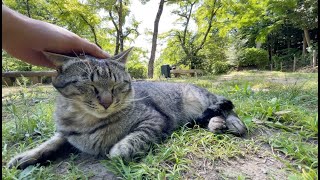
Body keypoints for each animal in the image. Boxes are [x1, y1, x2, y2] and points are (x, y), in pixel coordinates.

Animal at [8, 47, 248, 169]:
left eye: (117, 85)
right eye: (90, 85)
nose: (106, 102)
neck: (87, 123)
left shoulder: (154, 119)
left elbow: (130, 142)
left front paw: (118, 149)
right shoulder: (66, 133)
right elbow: (51, 143)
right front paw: (28, 156)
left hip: (200, 96)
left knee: (226, 106)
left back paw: (232, 123)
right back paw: (216, 123)